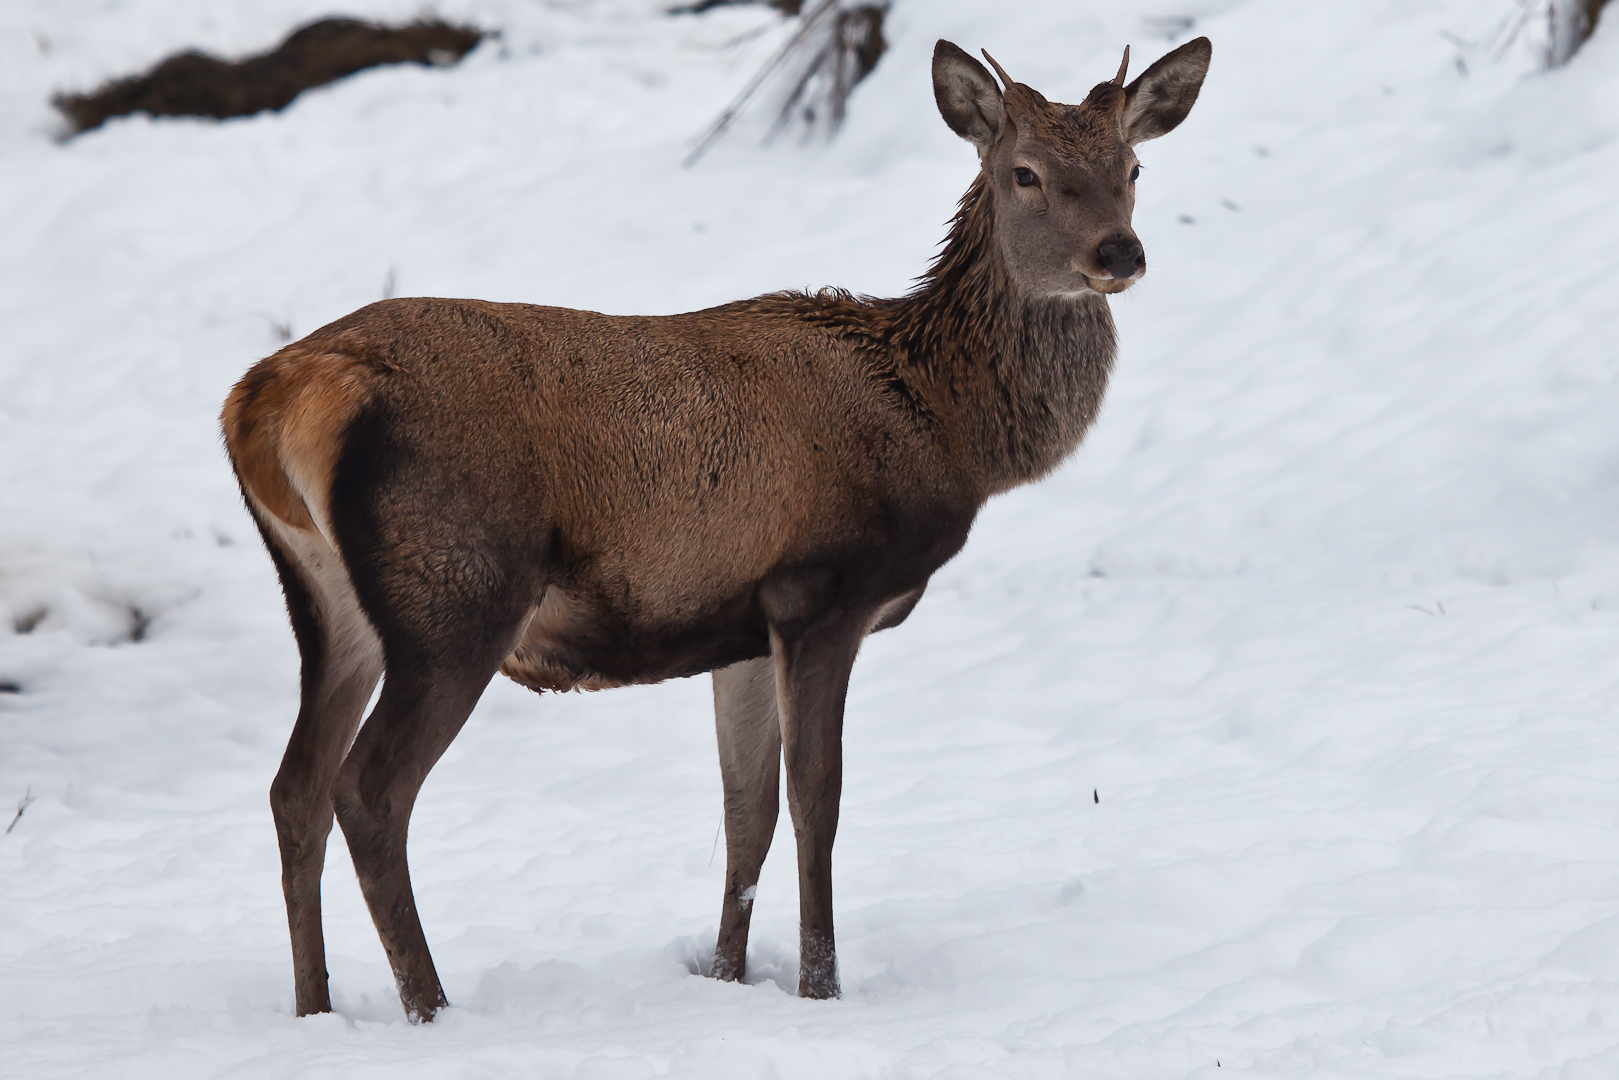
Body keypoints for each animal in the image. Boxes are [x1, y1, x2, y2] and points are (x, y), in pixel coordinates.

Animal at [221, 35, 1217, 1023]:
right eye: (1025, 173)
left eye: (1131, 167)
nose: (1119, 251)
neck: (944, 423)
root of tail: (268, 397)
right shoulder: (823, 588)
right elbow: (817, 801)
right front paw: (820, 989)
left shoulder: (741, 624)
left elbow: (748, 814)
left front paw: (729, 978)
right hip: (457, 590)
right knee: (368, 789)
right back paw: (432, 1009)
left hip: (329, 601)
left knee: (294, 787)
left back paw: (313, 1008)